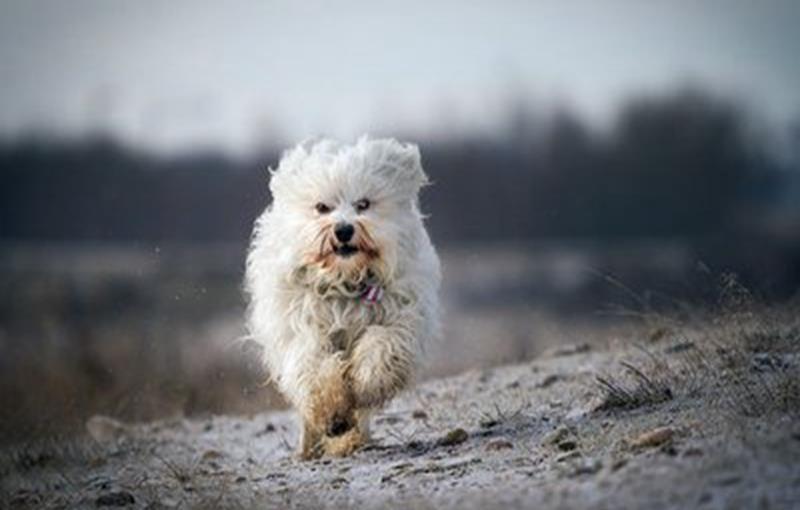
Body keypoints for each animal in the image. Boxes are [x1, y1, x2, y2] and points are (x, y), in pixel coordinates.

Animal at [247, 135, 440, 458]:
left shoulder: (401, 316)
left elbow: (382, 345)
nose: (344, 229)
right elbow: (316, 368)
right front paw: (332, 413)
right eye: (322, 207)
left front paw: (367, 382)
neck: (345, 282)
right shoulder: (302, 328)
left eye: (363, 204)